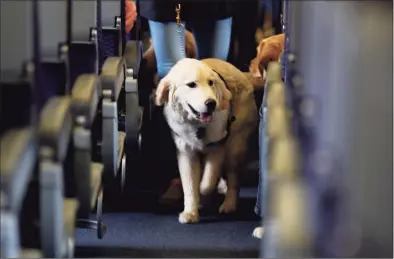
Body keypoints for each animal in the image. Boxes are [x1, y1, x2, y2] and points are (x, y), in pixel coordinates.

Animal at [155, 58, 260, 224]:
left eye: (211, 83)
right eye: (191, 84)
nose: (211, 103)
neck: (197, 125)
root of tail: (241, 74)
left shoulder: (217, 147)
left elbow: (207, 182)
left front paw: (204, 192)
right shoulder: (186, 153)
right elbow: (190, 185)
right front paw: (190, 213)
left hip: (235, 147)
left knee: (234, 179)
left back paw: (229, 204)